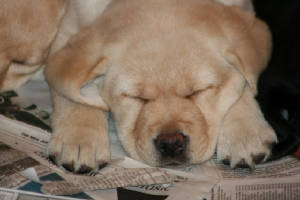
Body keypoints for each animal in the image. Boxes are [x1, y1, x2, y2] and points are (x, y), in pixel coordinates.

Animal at [45, 0, 278, 172]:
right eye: (136, 97)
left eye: (198, 91)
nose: (171, 142)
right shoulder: (65, 34)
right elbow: (71, 93)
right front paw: (80, 140)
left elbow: (243, 84)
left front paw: (246, 133)